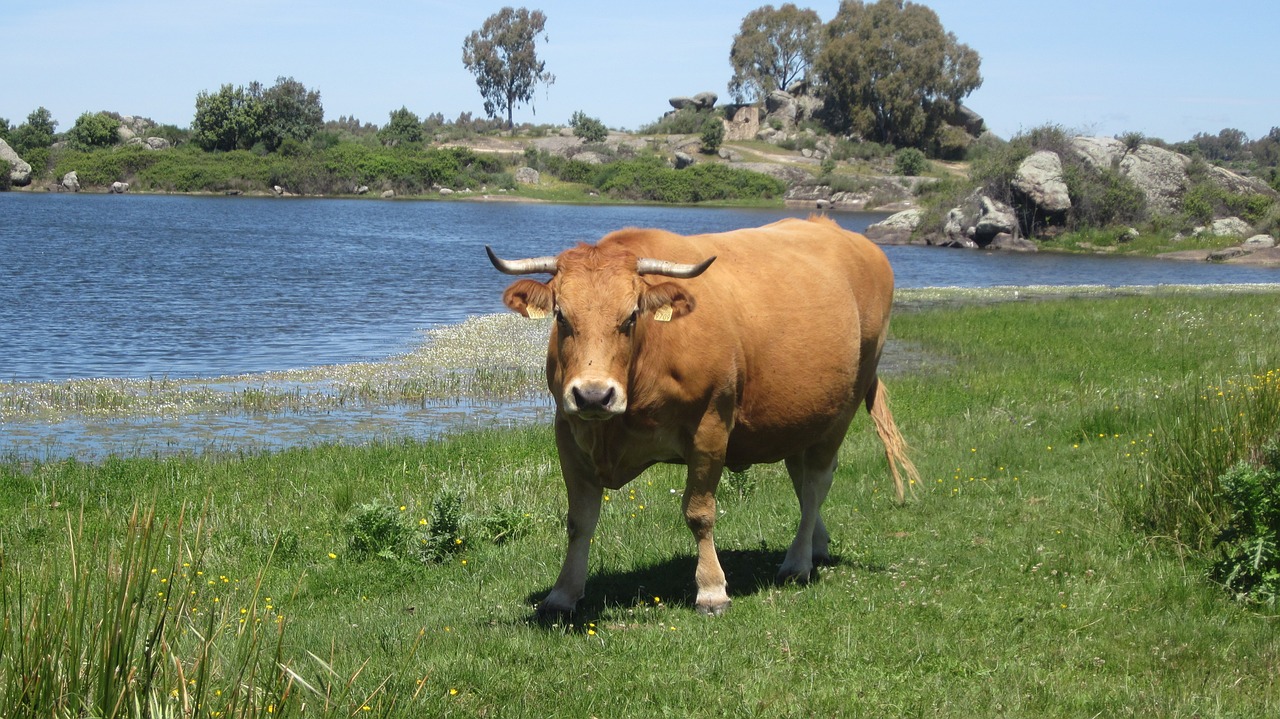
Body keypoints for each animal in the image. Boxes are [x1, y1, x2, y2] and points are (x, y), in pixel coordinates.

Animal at [488, 214, 921, 614]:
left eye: (631, 316)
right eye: (561, 316)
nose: (594, 395)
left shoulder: (711, 424)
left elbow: (699, 513)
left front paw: (712, 590)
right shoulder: (568, 428)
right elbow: (579, 520)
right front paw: (562, 594)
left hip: (845, 406)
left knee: (816, 481)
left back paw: (797, 562)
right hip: (801, 416)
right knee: (801, 478)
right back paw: (817, 544)